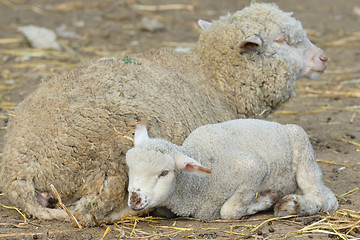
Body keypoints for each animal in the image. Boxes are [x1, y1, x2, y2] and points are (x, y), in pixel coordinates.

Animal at [126, 119, 338, 220]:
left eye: (164, 173)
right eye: (130, 169)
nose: (135, 200)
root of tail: (279, 125)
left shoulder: (253, 168)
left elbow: (229, 210)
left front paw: (266, 200)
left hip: (302, 150)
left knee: (324, 199)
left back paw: (294, 205)